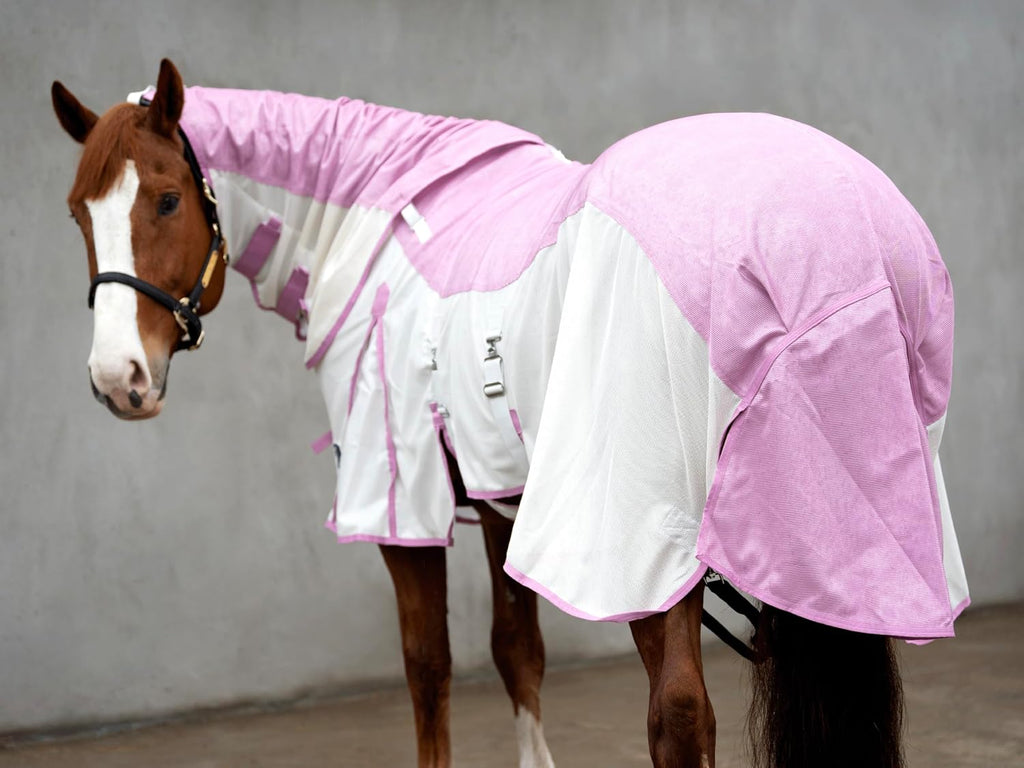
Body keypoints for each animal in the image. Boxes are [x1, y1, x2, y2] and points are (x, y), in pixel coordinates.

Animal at [52, 59, 969, 768]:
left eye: (167, 199)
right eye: (77, 211)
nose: (117, 377)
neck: (373, 214)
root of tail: (823, 247)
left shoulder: (403, 506)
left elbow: (429, 668)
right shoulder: (503, 494)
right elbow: (517, 654)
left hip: (640, 535)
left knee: (678, 716)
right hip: (842, 549)